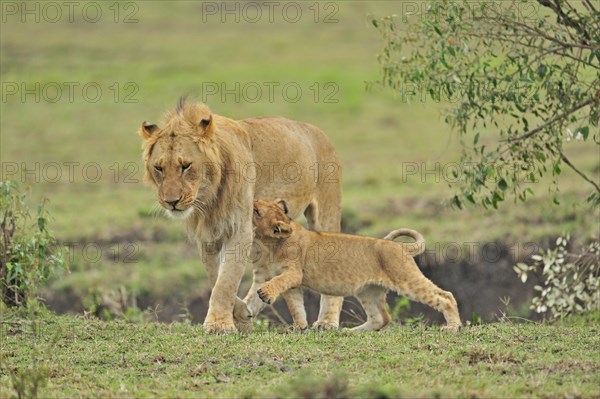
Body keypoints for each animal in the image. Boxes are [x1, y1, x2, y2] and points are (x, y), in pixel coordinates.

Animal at [137, 99, 342, 334]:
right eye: (159, 168)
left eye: (186, 166)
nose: (171, 201)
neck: (207, 199)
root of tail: (319, 132)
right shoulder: (208, 237)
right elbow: (215, 277)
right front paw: (242, 315)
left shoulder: (240, 229)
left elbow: (226, 280)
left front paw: (219, 325)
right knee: (263, 273)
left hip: (326, 212)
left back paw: (327, 321)